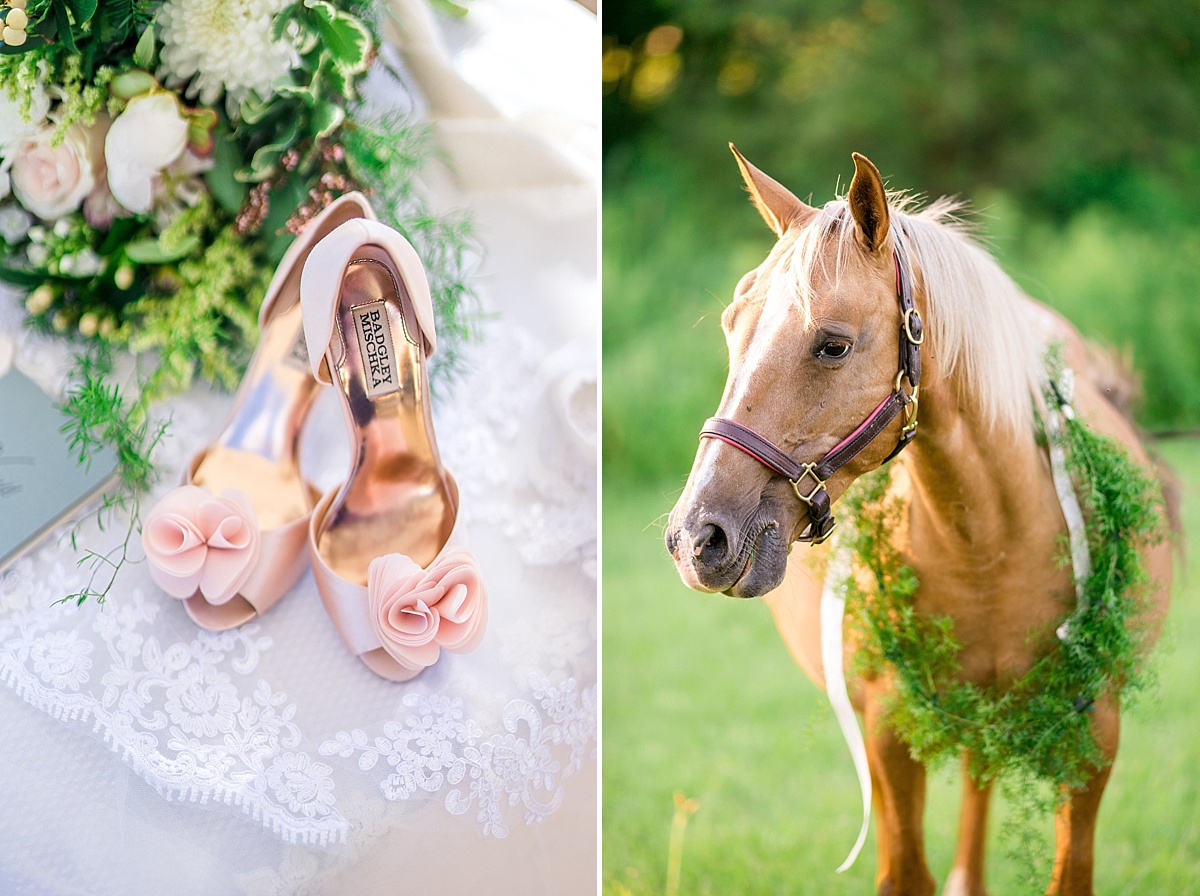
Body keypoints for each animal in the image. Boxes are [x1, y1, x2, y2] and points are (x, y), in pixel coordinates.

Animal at [662, 150, 1166, 896]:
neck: (989, 546)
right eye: (732, 326)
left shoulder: (1094, 733)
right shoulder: (889, 730)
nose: (697, 537)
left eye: (832, 345)